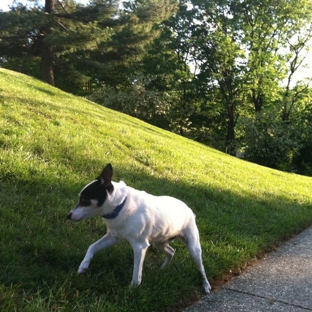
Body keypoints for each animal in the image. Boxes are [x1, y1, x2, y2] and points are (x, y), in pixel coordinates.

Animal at [66, 162, 211, 294]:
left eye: (84, 200)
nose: (68, 216)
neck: (120, 205)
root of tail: (189, 209)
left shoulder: (140, 247)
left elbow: (136, 275)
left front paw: (131, 290)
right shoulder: (113, 237)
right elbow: (92, 247)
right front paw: (84, 265)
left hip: (193, 247)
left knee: (201, 268)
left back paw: (206, 284)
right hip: (159, 242)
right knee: (171, 251)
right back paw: (163, 268)